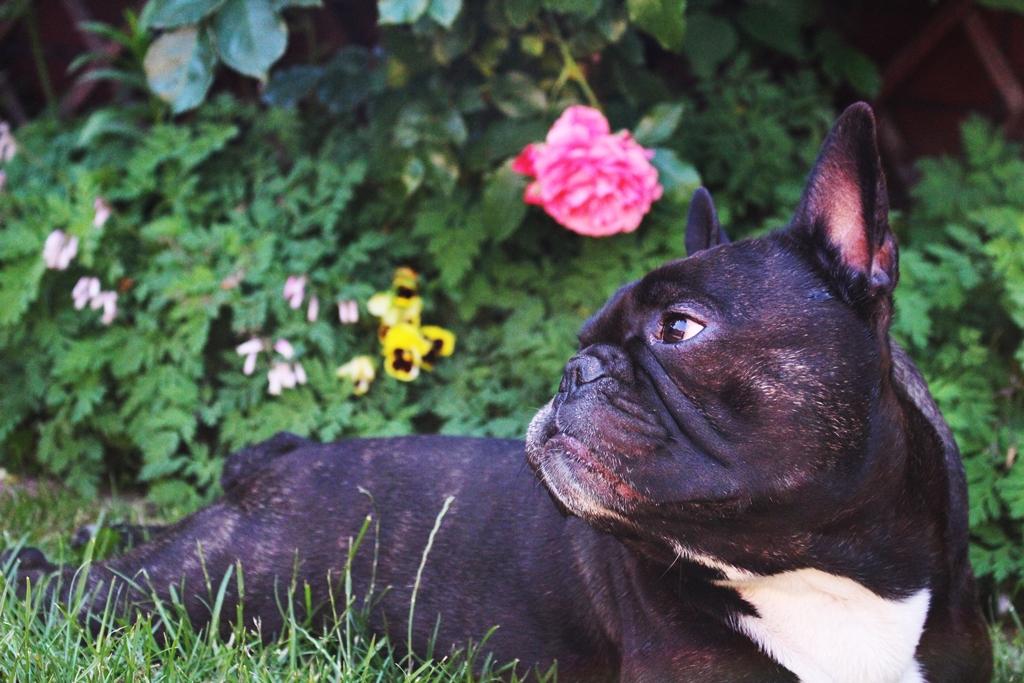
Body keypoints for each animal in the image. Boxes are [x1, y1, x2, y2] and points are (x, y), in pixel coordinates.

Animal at [4, 103, 991, 682]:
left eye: (679, 329)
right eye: (585, 340)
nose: (576, 368)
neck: (826, 571)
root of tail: (273, 461)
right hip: (190, 588)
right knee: (63, 585)